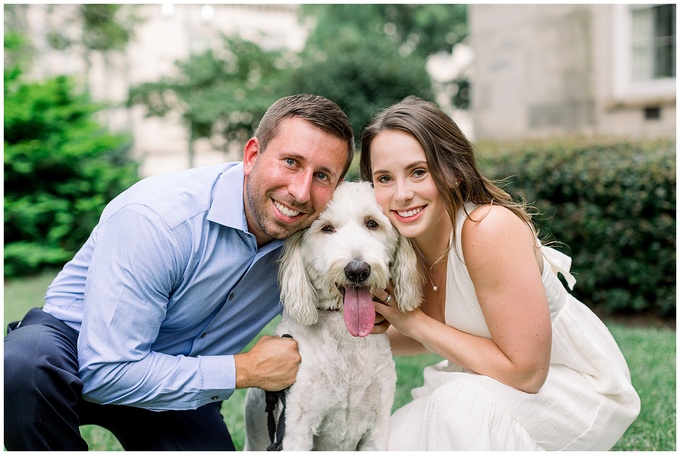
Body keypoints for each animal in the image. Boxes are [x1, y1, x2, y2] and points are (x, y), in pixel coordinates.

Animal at [242, 182, 418, 452]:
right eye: (327, 228)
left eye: (372, 223)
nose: (357, 270)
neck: (345, 336)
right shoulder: (295, 429)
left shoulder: (377, 430)